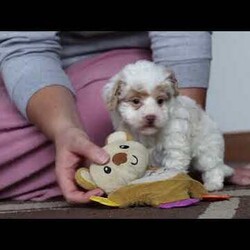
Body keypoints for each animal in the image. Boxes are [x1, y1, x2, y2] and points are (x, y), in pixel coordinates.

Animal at [102, 59, 234, 190]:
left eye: (160, 101)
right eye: (135, 101)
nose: (151, 117)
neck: (149, 135)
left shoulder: (175, 146)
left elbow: (174, 166)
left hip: (207, 147)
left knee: (213, 167)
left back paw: (213, 184)